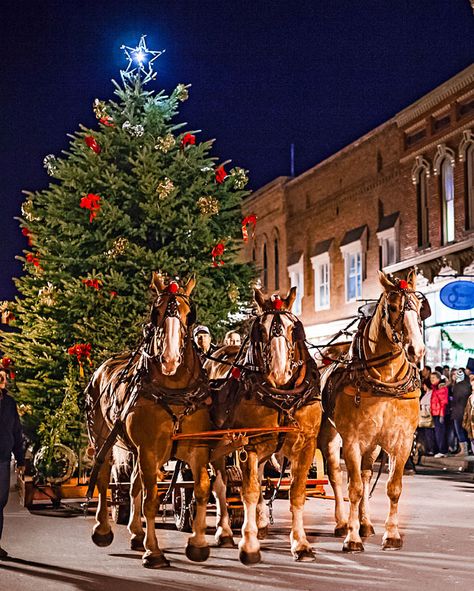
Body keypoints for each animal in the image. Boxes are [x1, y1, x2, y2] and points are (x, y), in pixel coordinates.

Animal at [84, 274, 211, 568]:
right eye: (156, 312)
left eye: (190, 315)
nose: (170, 360)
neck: (173, 390)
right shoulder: (149, 449)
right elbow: (151, 500)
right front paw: (153, 552)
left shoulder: (196, 447)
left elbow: (201, 488)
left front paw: (197, 545)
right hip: (104, 439)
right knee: (105, 477)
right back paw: (102, 529)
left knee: (133, 484)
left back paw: (136, 533)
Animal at [318, 270, 430, 552]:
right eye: (393, 307)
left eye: (419, 307)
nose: (416, 350)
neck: (385, 381)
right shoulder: (352, 441)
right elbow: (354, 488)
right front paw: (352, 537)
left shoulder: (401, 441)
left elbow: (393, 488)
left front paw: (391, 534)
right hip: (330, 436)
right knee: (336, 475)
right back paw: (342, 523)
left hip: (374, 443)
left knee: (367, 474)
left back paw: (365, 523)